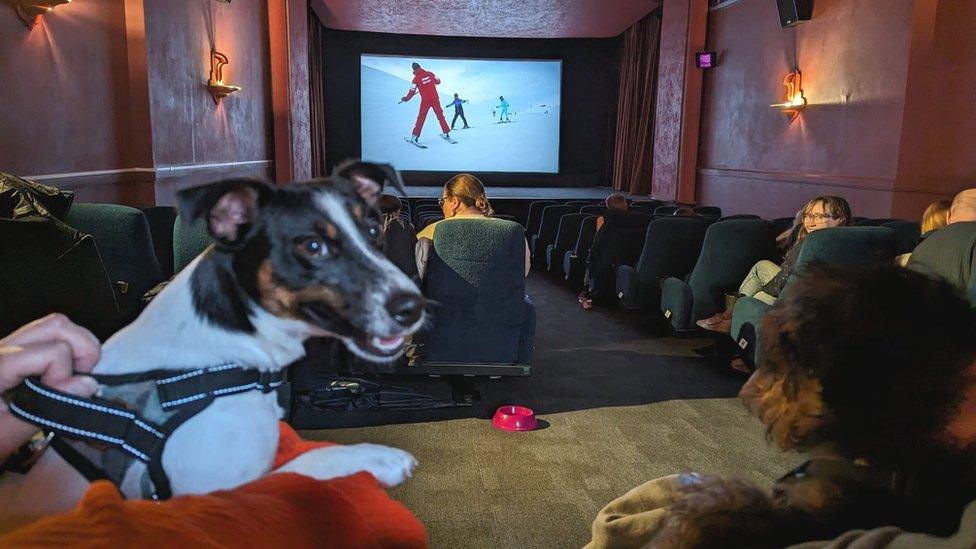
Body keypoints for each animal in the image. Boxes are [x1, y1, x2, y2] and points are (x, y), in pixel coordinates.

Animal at [3, 169, 424, 512]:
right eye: (312, 246)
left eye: (373, 232)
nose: (414, 307)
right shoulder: (211, 494)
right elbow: (301, 467)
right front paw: (374, 458)